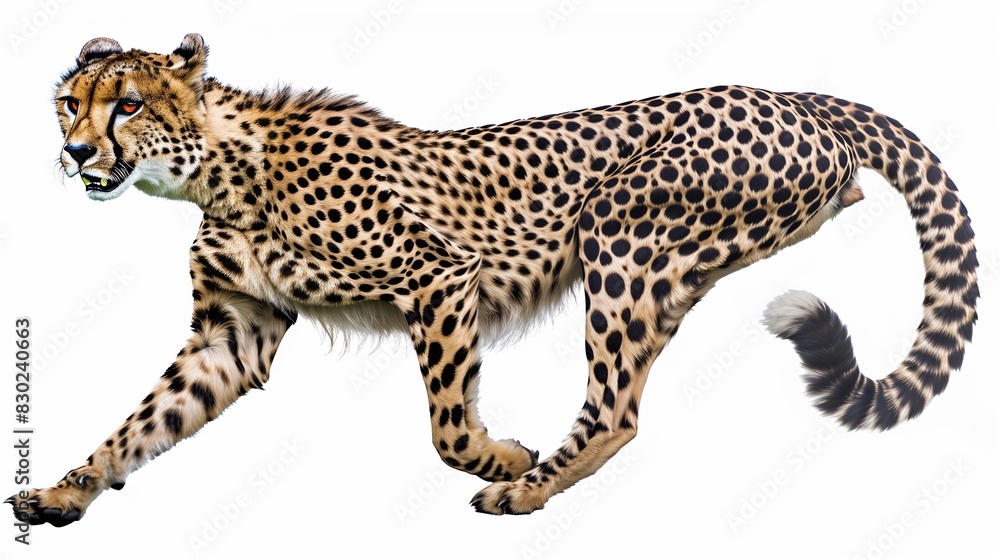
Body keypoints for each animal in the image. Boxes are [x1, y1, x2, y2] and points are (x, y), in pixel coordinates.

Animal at [8, 34, 978, 526]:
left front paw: (502, 453)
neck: (217, 168)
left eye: (129, 103)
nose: (77, 152)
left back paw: (528, 486)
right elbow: (141, 422)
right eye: (70, 103)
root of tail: (790, 94)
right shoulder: (233, 331)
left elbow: (445, 423)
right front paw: (65, 489)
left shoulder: (439, 275)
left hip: (620, 231)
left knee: (616, 410)